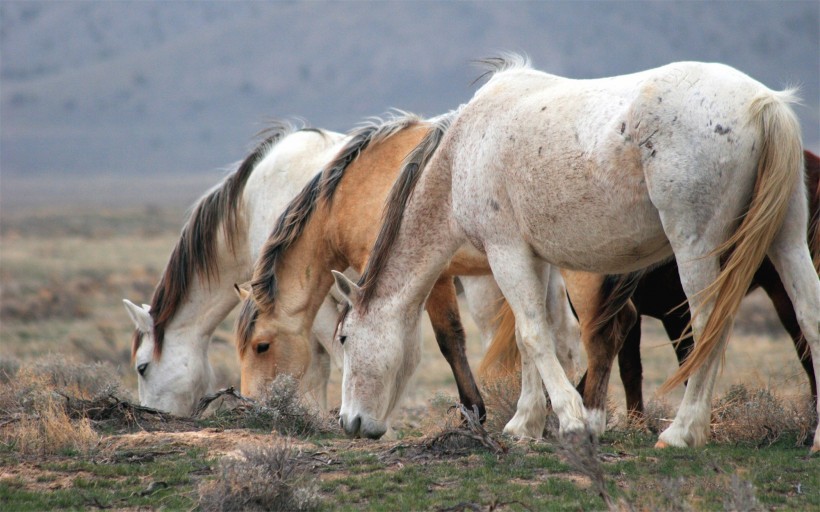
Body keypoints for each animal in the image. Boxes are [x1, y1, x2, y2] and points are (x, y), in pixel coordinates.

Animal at [330, 54, 816, 450]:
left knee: (708, 326)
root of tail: (763, 103)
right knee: (809, 315)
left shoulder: (506, 251)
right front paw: (526, 424)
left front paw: (571, 419)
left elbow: (533, 335)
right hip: (787, 240)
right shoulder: (537, 260)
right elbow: (535, 336)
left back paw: (682, 433)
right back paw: (813, 441)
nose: (349, 423)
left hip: (694, 246)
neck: (463, 151)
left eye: (344, 338)